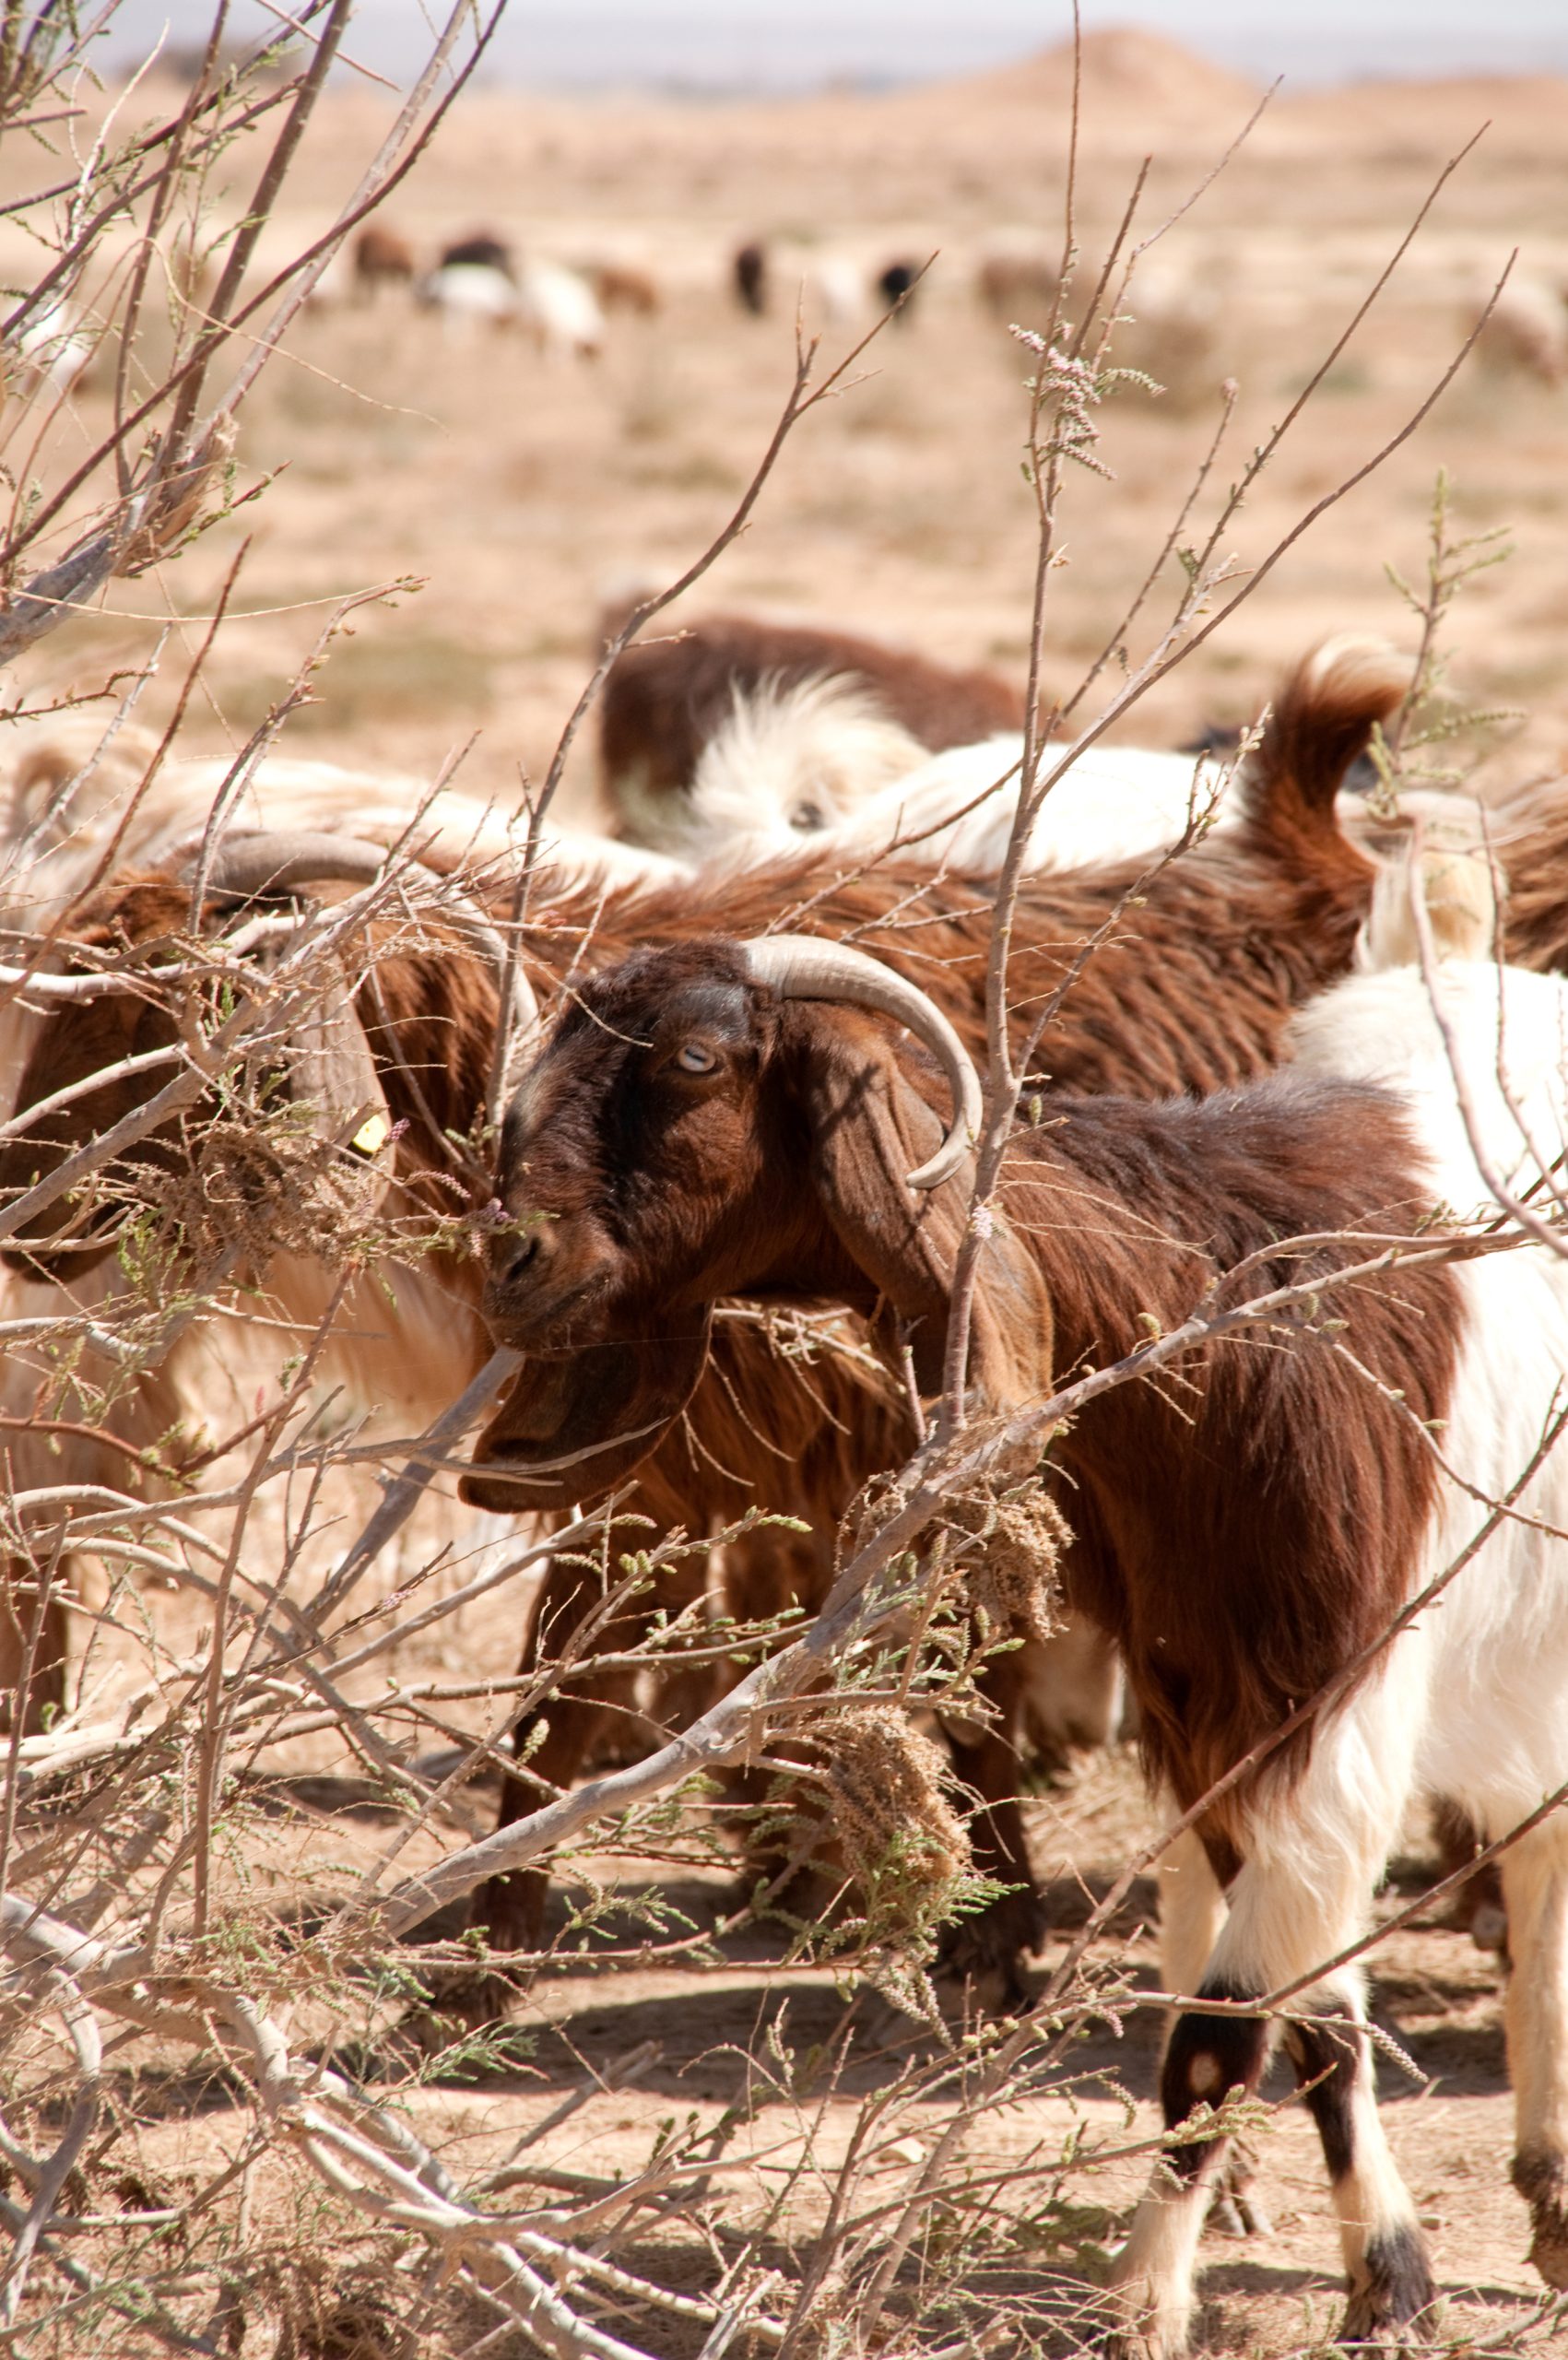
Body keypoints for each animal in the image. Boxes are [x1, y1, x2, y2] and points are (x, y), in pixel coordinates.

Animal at [468, 923, 1568, 2351]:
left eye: (698, 1060)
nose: (509, 1263)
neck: (1221, 1324)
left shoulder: (1333, 1719)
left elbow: (1220, 2040)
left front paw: (1159, 2304)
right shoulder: (1205, 1704)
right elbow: (1315, 2018)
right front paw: (1376, 2273)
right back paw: (1542, 2192)